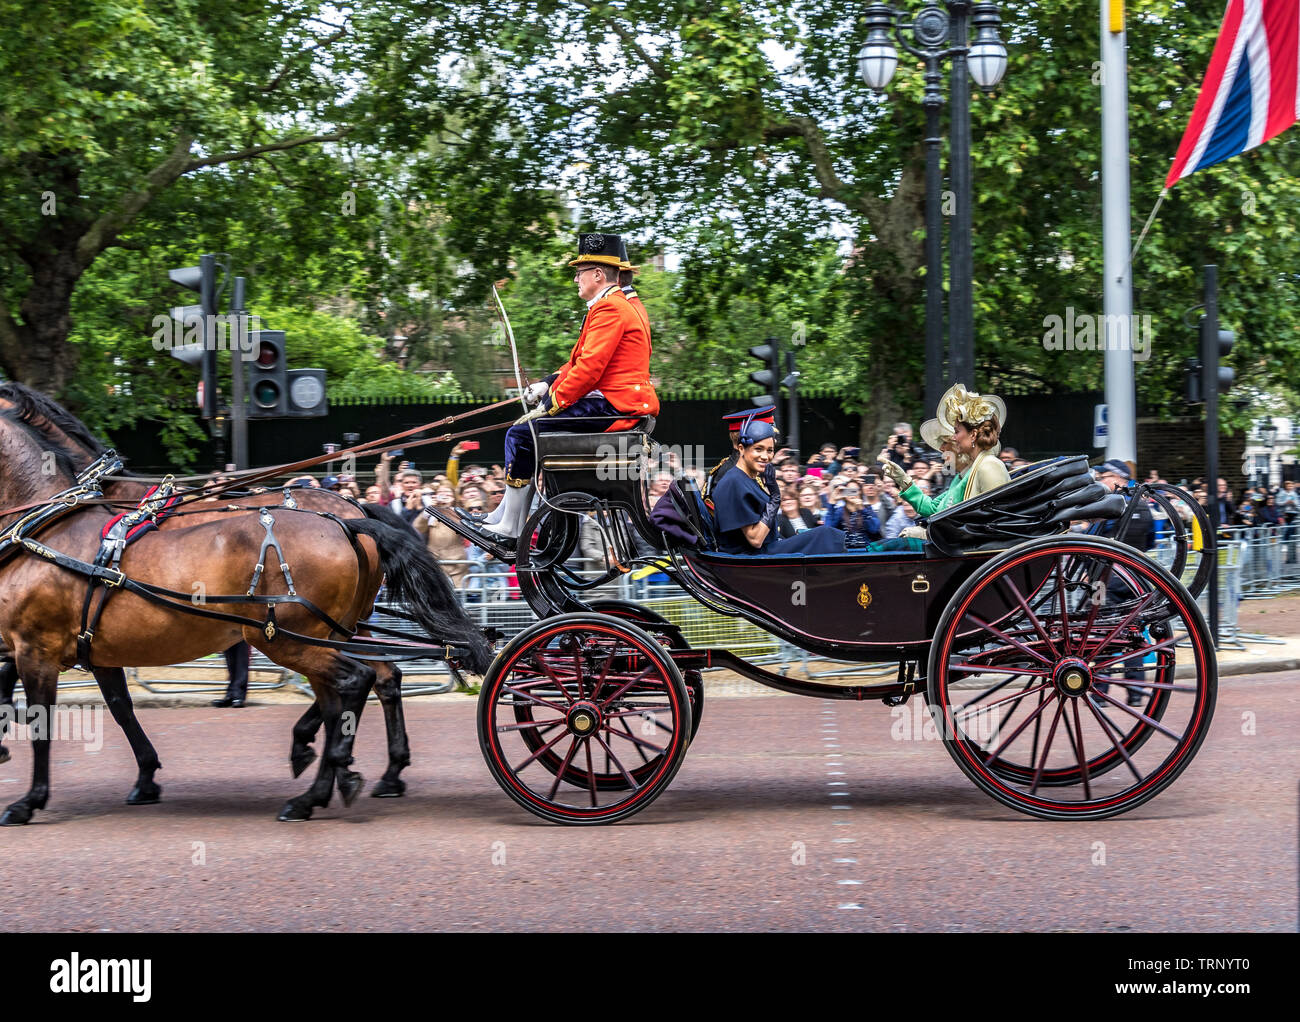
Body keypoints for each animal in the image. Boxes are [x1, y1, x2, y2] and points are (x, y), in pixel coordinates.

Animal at [0, 390, 488, 821]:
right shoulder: (93, 649)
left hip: (286, 637)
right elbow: (119, 707)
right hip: (335, 630)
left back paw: (321, 779)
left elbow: (42, 721)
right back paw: (360, 773)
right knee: (374, 681)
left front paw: (28, 799)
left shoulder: (36, 648)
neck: (48, 528)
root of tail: (350, 516)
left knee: (354, 683)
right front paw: (144, 776)